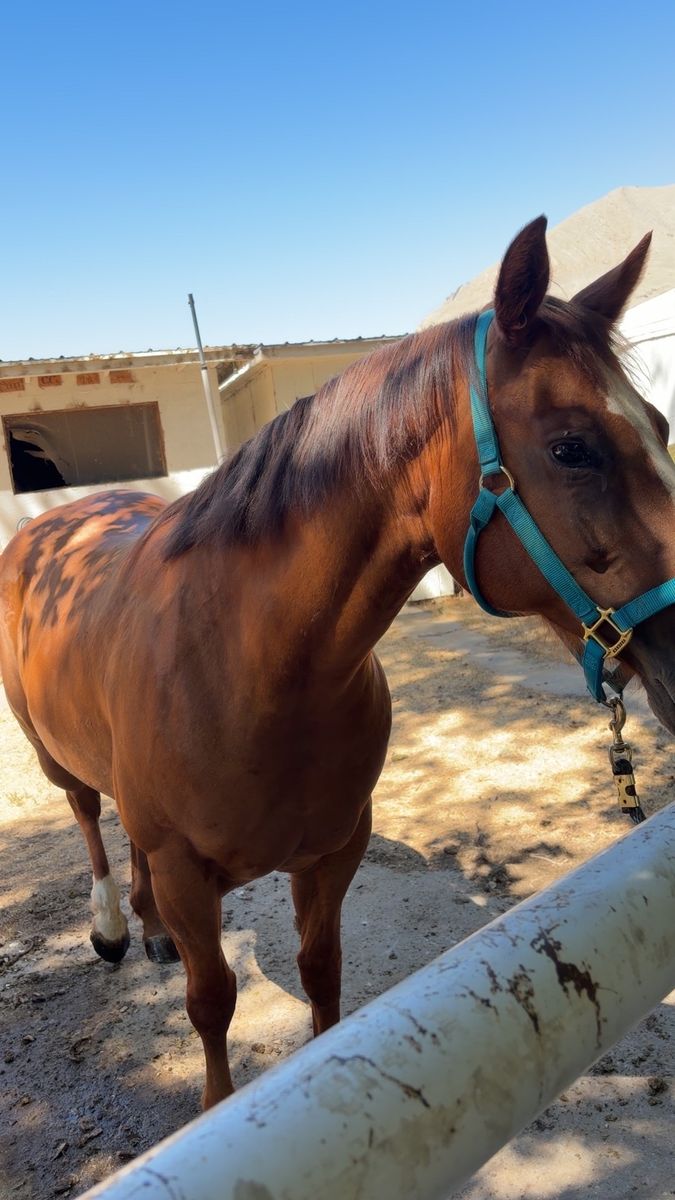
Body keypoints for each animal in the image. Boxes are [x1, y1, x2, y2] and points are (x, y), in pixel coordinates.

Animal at [1, 216, 674, 1112]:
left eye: (660, 427)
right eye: (571, 448)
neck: (248, 667)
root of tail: (49, 523)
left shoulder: (331, 853)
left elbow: (321, 972)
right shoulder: (188, 874)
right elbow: (211, 1002)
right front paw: (216, 1102)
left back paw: (146, 931)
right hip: (54, 760)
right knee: (87, 816)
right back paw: (112, 927)